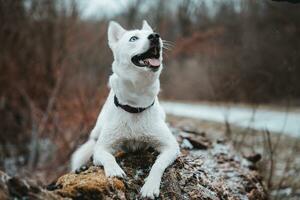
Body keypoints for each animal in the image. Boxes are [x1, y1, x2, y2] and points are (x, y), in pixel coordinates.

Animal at [71, 20, 179, 198]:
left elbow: (157, 165)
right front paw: (114, 171)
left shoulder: (171, 147)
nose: (155, 36)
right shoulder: (101, 148)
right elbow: (108, 157)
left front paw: (150, 186)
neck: (135, 104)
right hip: (96, 130)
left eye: (154, 34)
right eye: (133, 38)